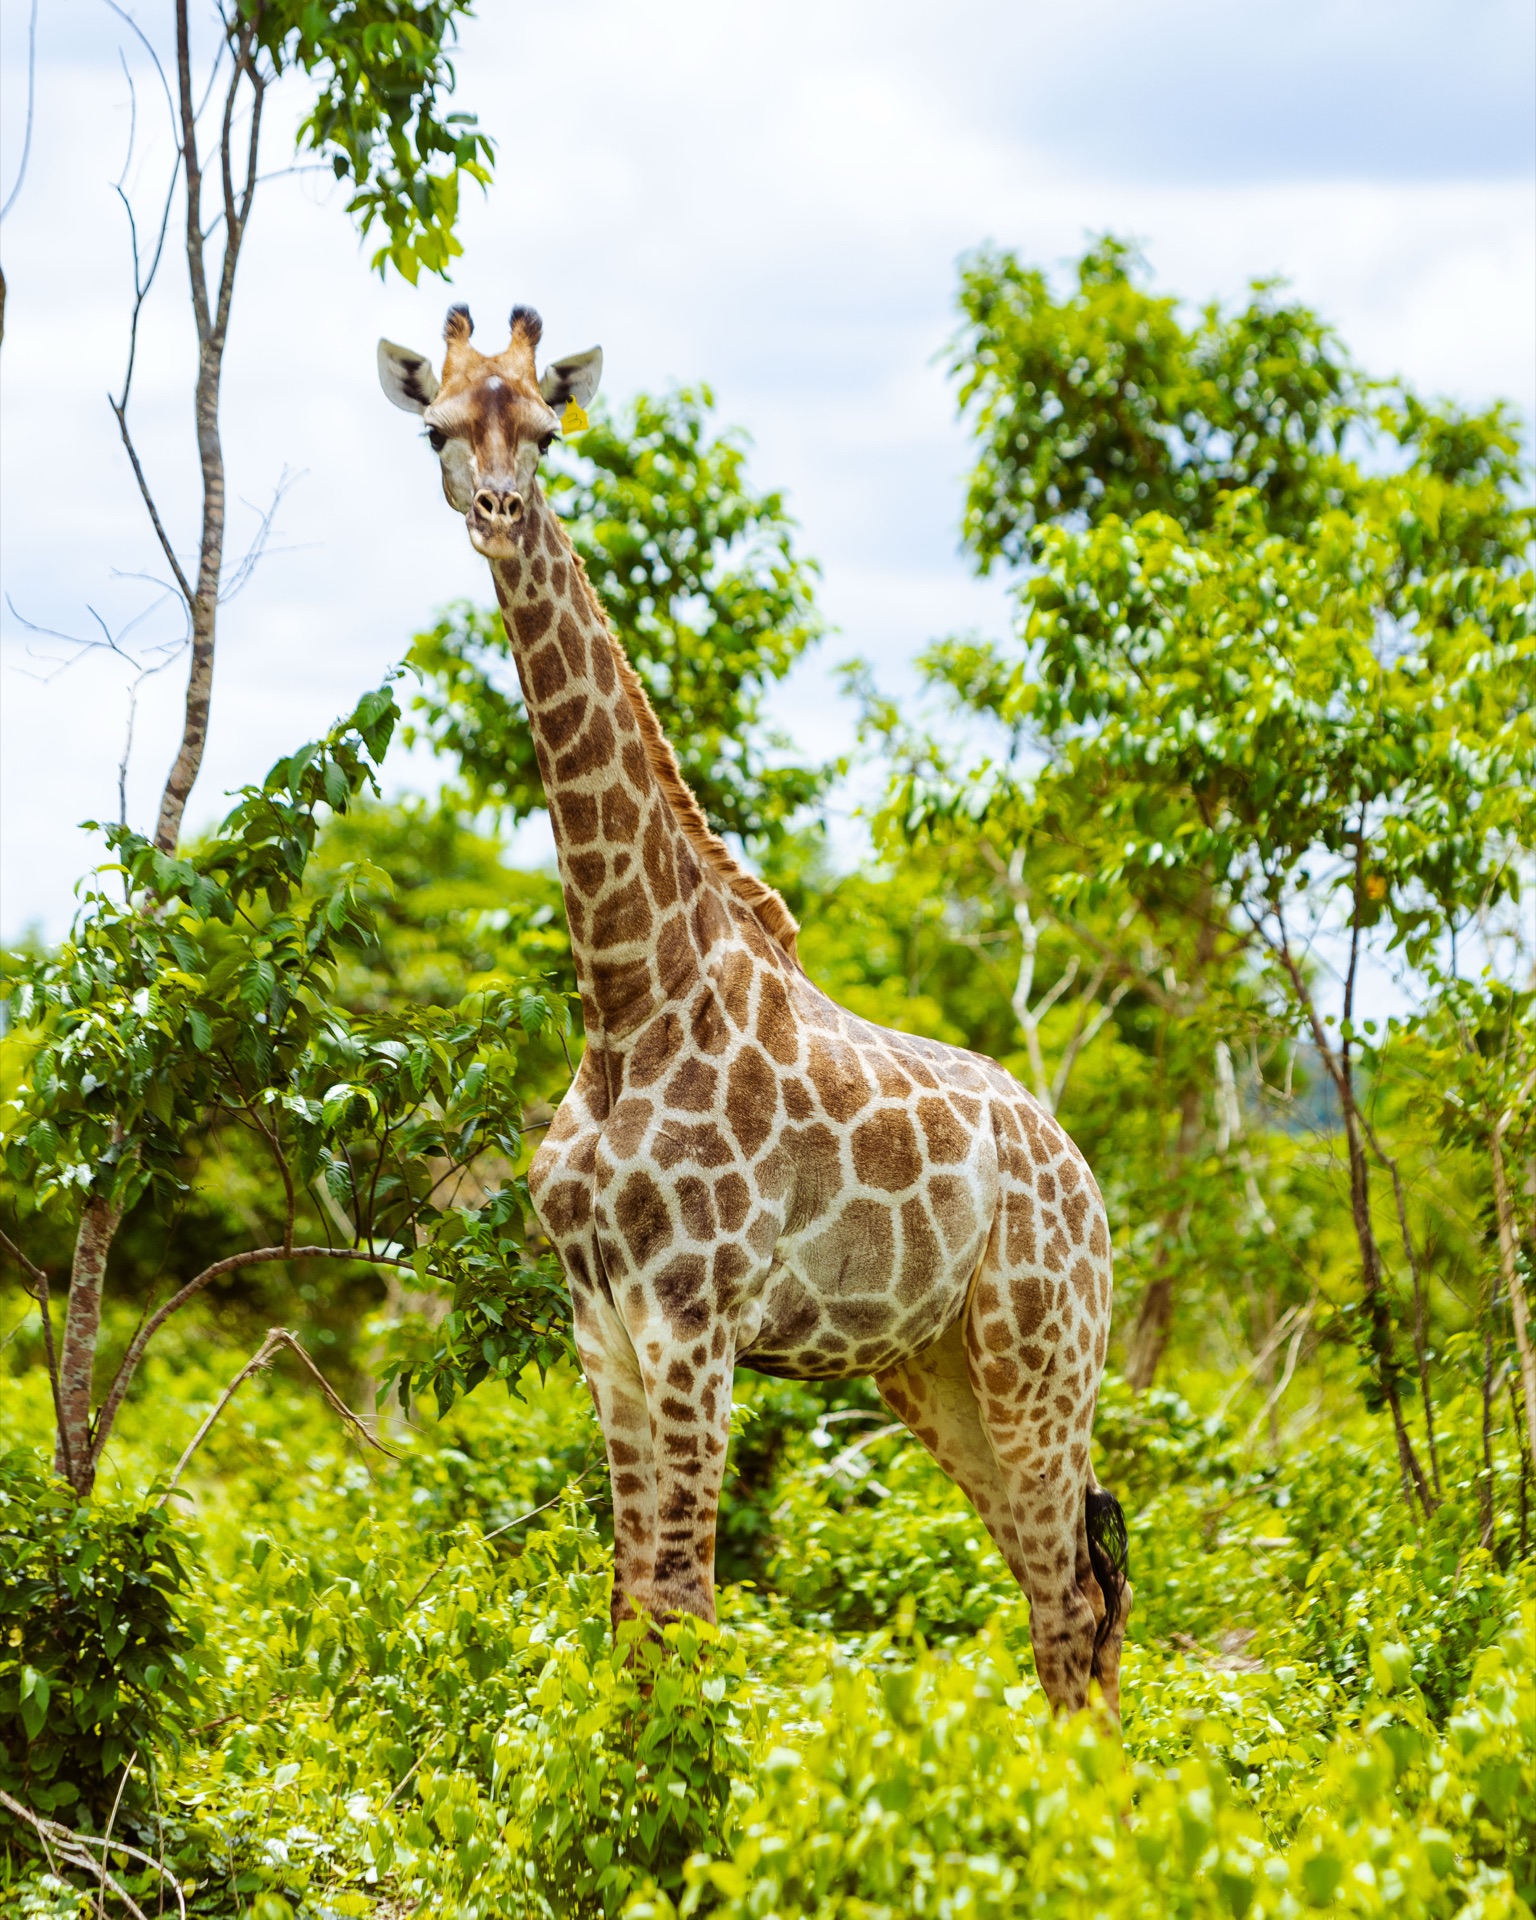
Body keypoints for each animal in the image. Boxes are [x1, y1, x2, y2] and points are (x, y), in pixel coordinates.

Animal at [378, 303, 1131, 1714]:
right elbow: (631, 1614)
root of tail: (1082, 1175)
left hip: (1042, 1347)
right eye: (438, 429)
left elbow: (685, 1609)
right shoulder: (602, 1330)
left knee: (1071, 1603)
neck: (626, 999)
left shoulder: (694, 1321)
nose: (500, 510)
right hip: (931, 1367)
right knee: (1075, 1594)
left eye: (549, 430)